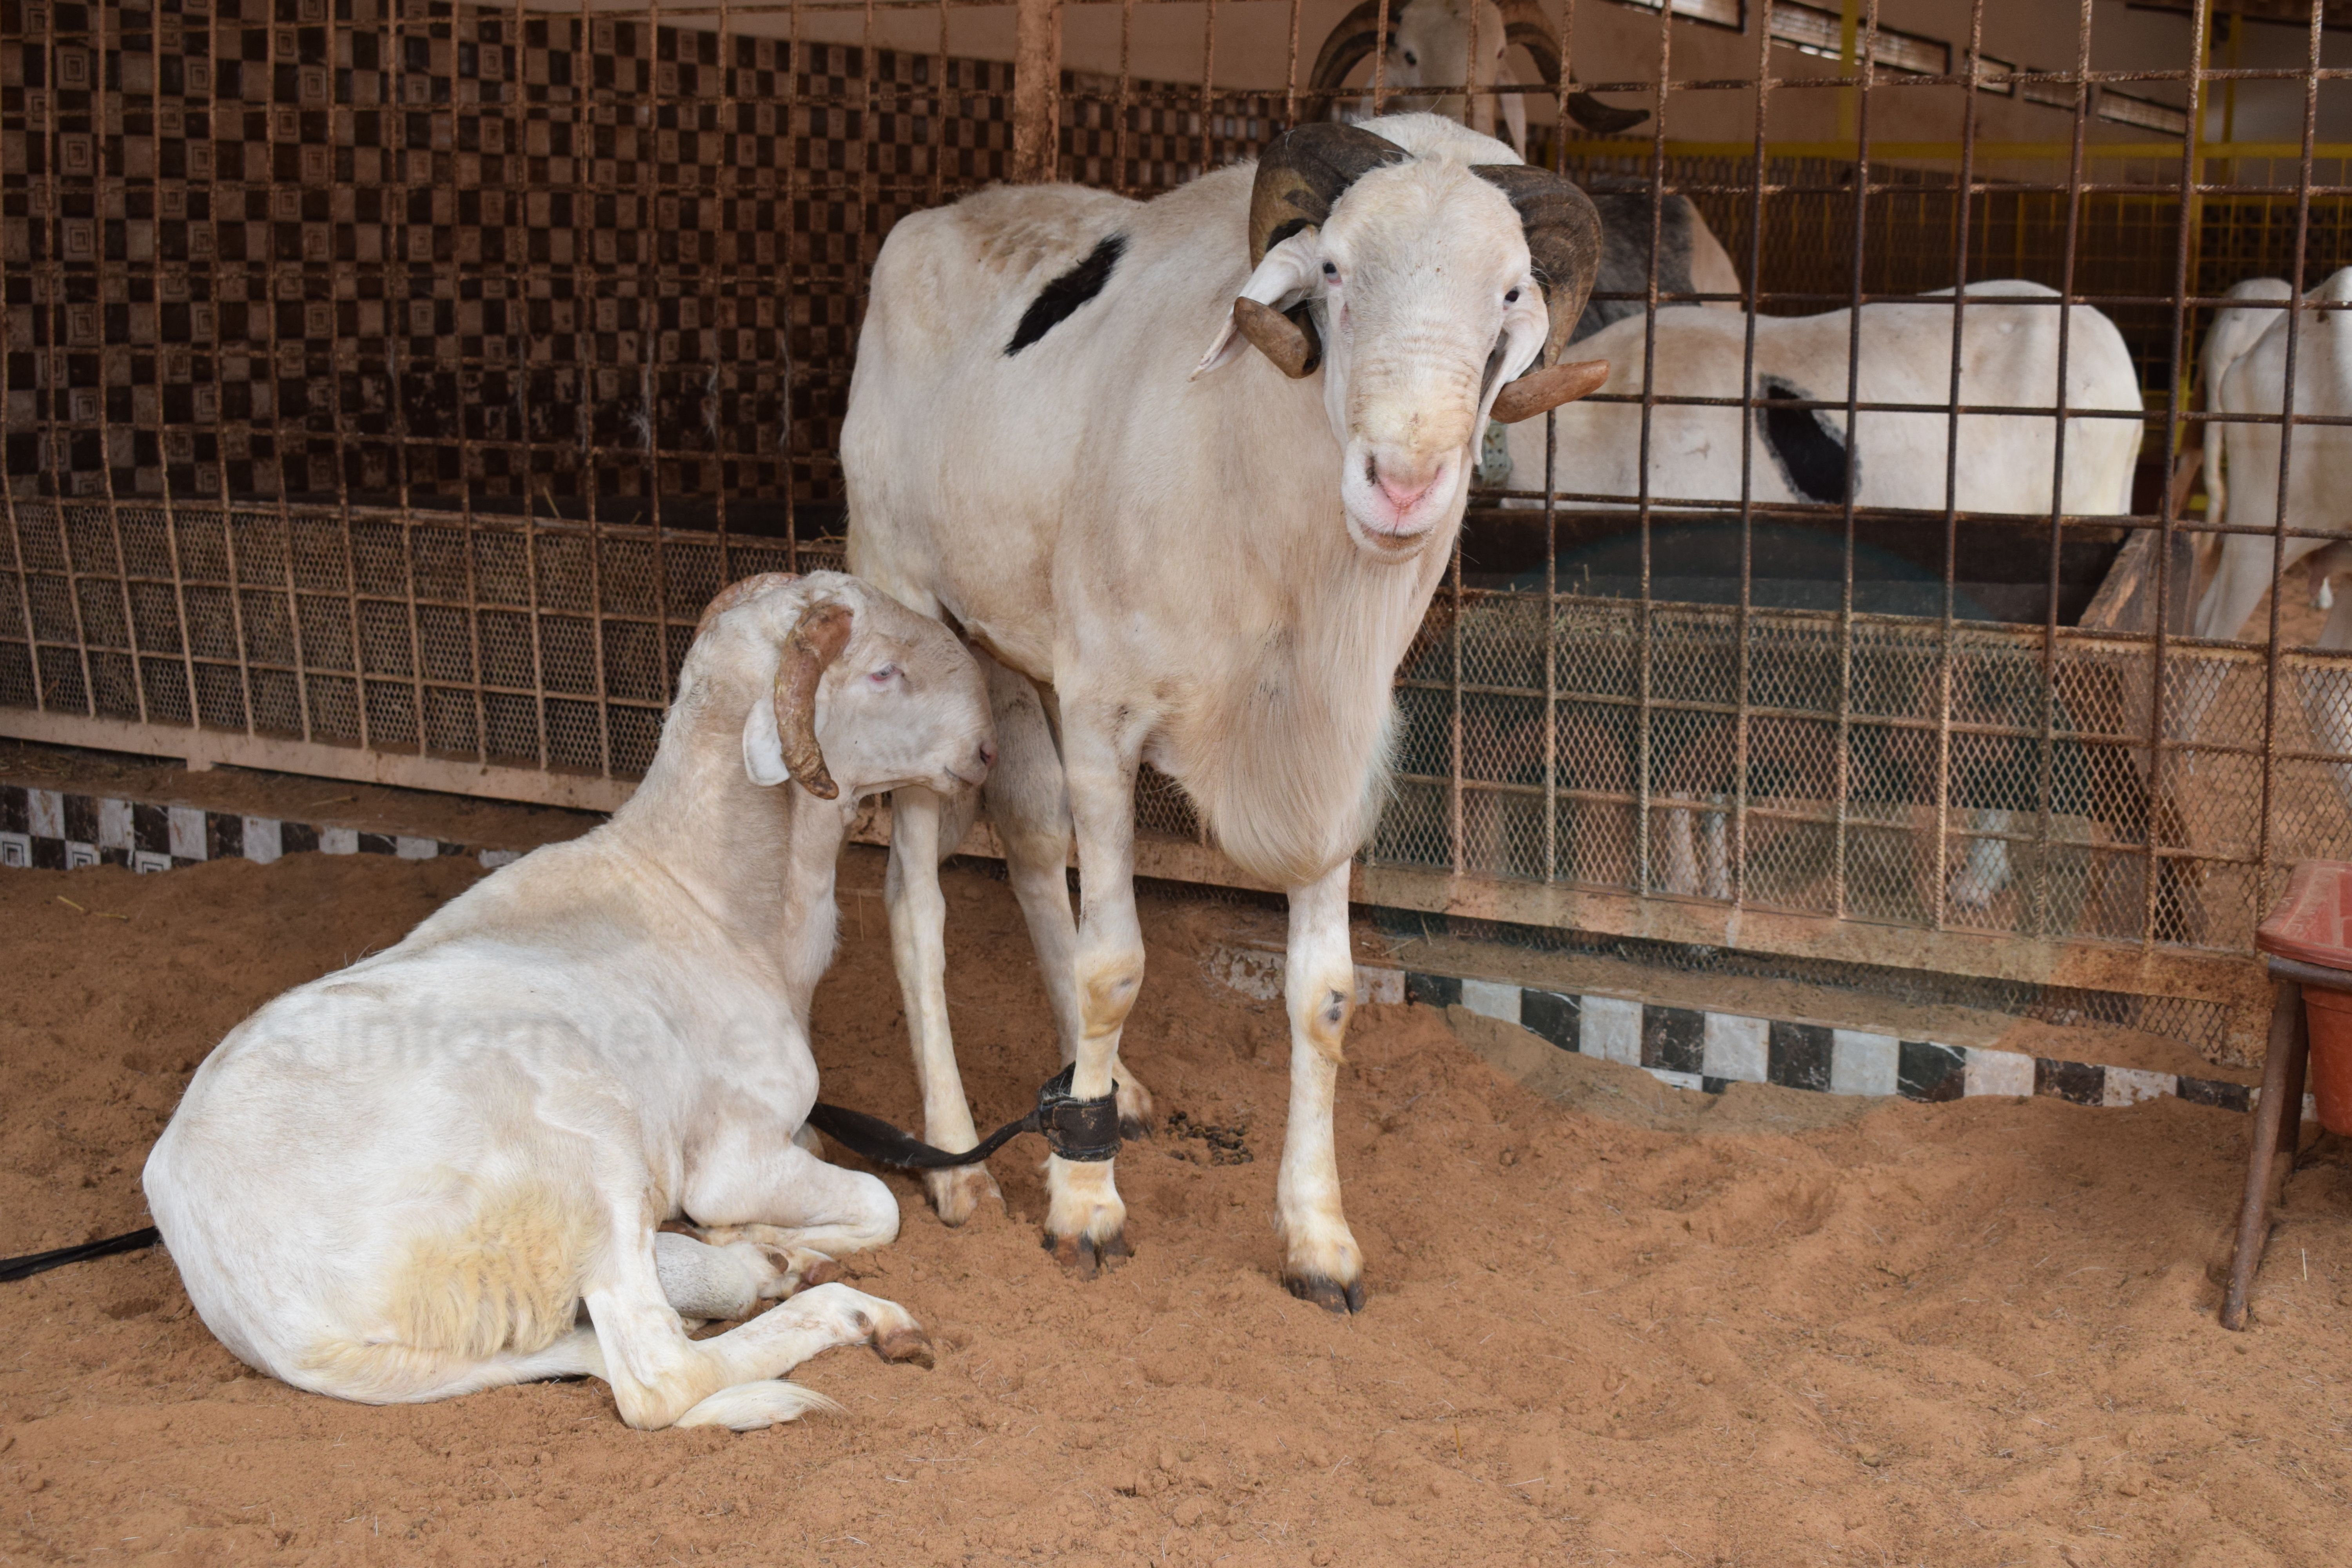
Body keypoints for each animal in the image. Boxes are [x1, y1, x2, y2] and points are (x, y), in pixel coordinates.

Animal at [141, 572, 997, 1430]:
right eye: (883, 672)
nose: (988, 749)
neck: (713, 903)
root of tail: (279, 1322)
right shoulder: (732, 1154)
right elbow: (877, 1204)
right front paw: (758, 1234)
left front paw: (757, 1242)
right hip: (585, 1155)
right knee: (658, 1377)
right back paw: (850, 1311)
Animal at [842, 113, 1606, 1311]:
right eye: (1333, 271)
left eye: (1512, 293)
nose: (1403, 483)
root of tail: (941, 219)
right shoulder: (1107, 716)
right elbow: (1116, 965)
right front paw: (1086, 1207)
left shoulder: (1330, 748)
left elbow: (1325, 996)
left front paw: (1318, 1238)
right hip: (913, 614)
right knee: (917, 905)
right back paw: (961, 1168)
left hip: (1017, 654)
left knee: (1031, 843)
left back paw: (1105, 1093)